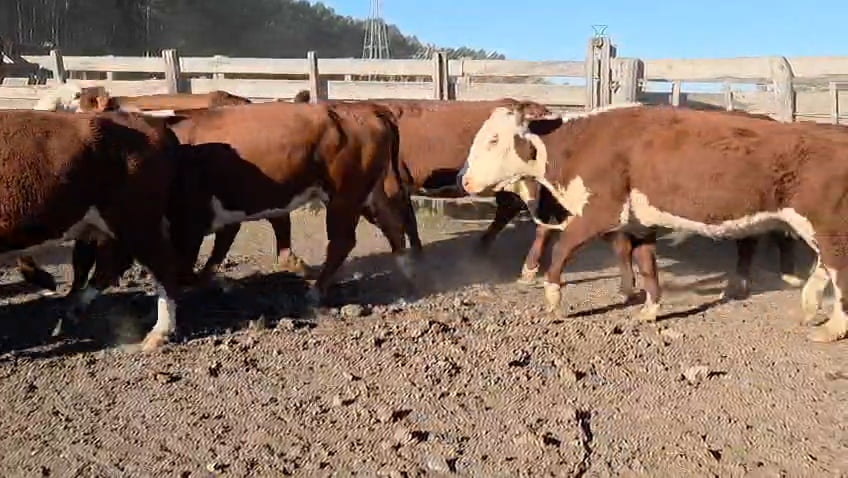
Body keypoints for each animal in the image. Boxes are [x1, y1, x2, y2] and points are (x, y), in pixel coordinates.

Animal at [0, 109, 182, 351]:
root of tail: (148, 122)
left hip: (138, 224)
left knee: (164, 269)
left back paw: (158, 333)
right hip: (107, 228)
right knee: (110, 266)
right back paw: (73, 309)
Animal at [458, 102, 848, 343]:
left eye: (494, 139)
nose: (465, 181)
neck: (581, 144)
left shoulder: (600, 212)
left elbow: (562, 250)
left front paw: (552, 301)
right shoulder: (638, 224)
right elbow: (646, 265)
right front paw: (649, 310)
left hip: (828, 226)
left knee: (838, 270)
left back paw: (831, 328)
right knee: (823, 266)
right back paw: (808, 304)